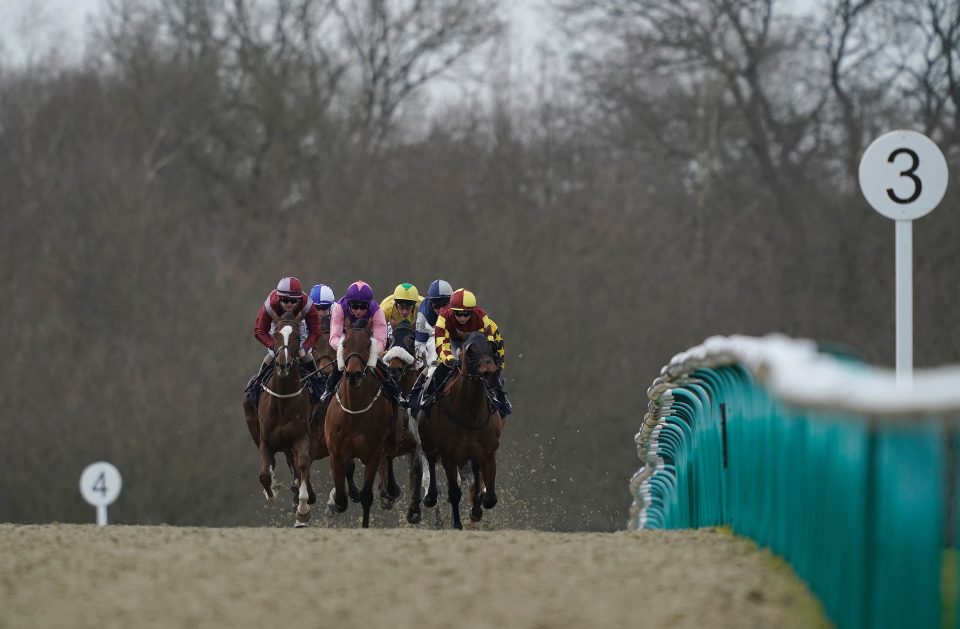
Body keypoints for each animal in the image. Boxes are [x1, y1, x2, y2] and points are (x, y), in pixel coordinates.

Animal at [255, 312, 316, 524]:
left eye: (297, 336)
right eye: (275, 336)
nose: (283, 364)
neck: (282, 400)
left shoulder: (302, 436)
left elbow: (304, 464)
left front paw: (303, 509)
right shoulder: (265, 440)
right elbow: (264, 475)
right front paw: (272, 491)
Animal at [324, 316, 396, 528]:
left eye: (368, 345)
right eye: (344, 344)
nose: (354, 374)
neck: (354, 412)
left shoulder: (373, 453)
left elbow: (366, 497)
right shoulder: (335, 452)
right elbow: (341, 497)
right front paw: (338, 501)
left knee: (389, 456)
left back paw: (391, 490)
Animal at [418, 332, 506, 528]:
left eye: (493, 348)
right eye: (470, 351)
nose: (490, 373)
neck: (469, 415)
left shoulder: (488, 452)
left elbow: (490, 498)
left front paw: (477, 506)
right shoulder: (448, 455)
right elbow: (454, 492)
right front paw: (457, 524)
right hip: (429, 443)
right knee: (431, 462)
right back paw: (430, 497)